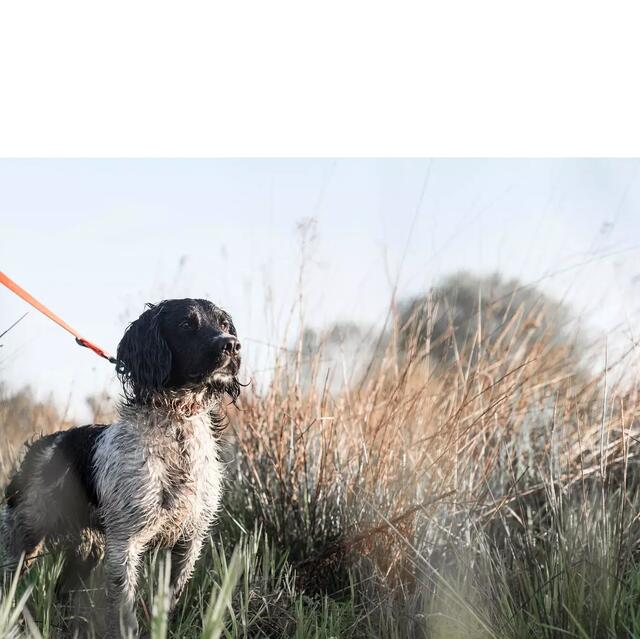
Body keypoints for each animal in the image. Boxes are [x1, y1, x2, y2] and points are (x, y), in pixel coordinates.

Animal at [1, 300, 241, 639]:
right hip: (24, 535)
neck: (177, 429)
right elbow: (125, 611)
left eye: (224, 324)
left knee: (64, 591)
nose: (231, 345)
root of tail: (41, 445)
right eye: (186, 324)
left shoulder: (187, 542)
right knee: (11, 584)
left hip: (87, 547)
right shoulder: (125, 543)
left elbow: (165, 605)